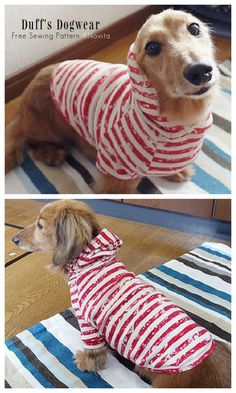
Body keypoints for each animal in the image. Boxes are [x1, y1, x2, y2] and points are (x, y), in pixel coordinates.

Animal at [6, 9, 219, 193]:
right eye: (152, 47)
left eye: (194, 28)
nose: (200, 71)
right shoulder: (118, 172)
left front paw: (177, 171)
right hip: (46, 125)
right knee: (28, 140)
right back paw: (51, 153)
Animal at [12, 199, 231, 386]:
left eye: (40, 225)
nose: (14, 239)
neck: (92, 261)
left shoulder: (87, 322)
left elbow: (93, 349)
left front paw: (85, 362)